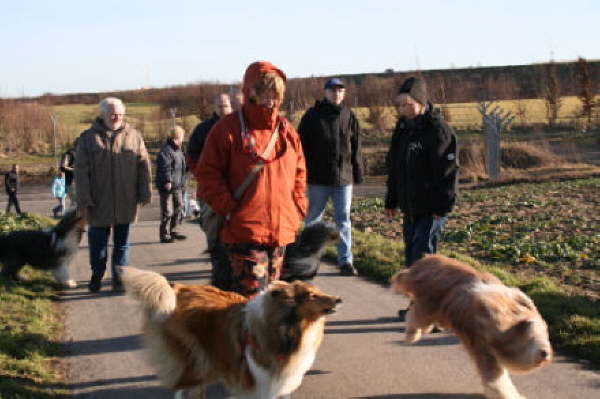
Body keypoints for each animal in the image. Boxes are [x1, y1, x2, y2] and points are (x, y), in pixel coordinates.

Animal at [120, 268, 342, 399]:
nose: (339, 299)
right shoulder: (262, 381)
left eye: (318, 291)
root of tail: (175, 289)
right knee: (182, 387)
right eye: (312, 295)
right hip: (194, 357)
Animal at [390, 256, 552, 399]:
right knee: (414, 317)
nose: (545, 353)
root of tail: (423, 263)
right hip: (428, 305)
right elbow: (495, 379)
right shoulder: (483, 345)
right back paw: (411, 336)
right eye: (533, 336)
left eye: (546, 336)